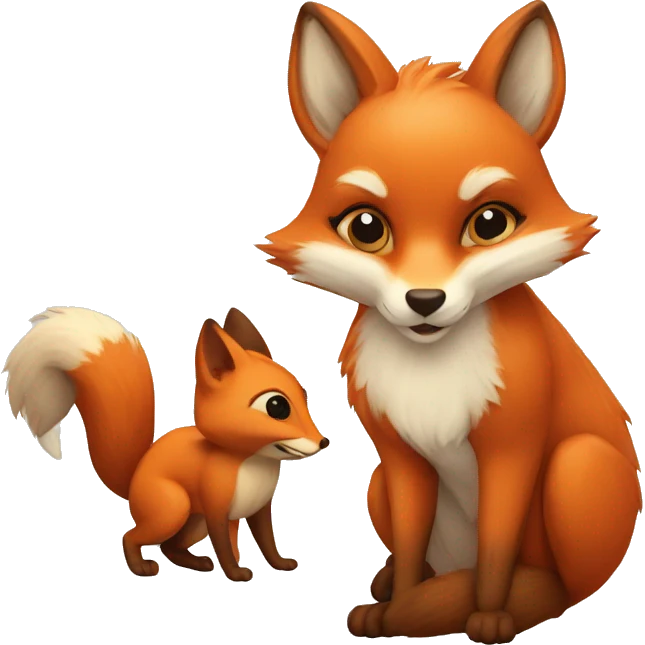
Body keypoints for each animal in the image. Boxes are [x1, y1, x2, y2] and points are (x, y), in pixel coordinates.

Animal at [5, 306, 328, 580]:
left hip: (193, 521)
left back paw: (197, 563)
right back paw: (142, 568)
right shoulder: (216, 510)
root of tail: (135, 477)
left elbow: (265, 542)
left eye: (304, 395)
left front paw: (279, 564)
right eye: (277, 406)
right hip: (174, 508)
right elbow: (225, 547)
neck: (251, 463)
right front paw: (236, 573)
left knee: (171, 546)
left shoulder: (258, 510)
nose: (323, 441)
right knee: (132, 537)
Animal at [258, 1, 640, 642]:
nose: (425, 298)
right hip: (378, 485)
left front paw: (487, 614)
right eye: (366, 228)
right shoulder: (401, 458)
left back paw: (523, 603)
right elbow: (414, 548)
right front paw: (397, 606)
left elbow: (495, 551)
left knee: (565, 588)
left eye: (489, 223)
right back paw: (392, 585)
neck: (432, 376)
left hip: (575, 466)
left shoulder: (513, 449)